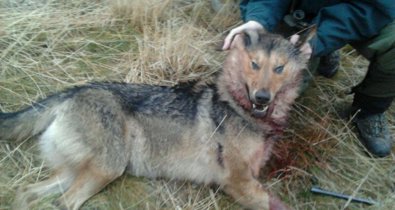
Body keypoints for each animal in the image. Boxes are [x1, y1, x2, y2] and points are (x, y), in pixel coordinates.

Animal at [0, 29, 316, 210]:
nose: (262, 97)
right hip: (107, 169)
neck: (240, 109)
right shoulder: (238, 181)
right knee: (62, 203)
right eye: (254, 65)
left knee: (27, 192)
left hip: (77, 173)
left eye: (279, 68)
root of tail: (73, 91)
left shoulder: (249, 178)